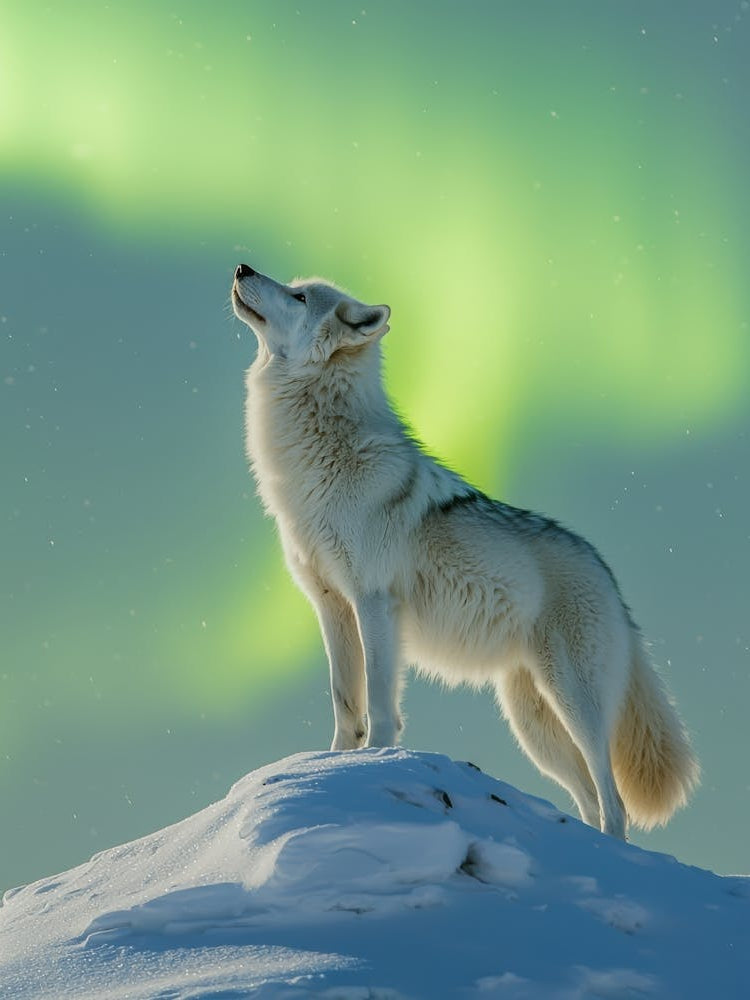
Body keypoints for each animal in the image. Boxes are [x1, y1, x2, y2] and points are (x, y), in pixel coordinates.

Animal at [231, 263, 699, 839]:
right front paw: (328, 768)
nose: (242, 268)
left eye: (299, 297)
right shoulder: (331, 606)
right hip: (533, 726)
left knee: (614, 803)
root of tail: (608, 576)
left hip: (575, 705)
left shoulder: (374, 602)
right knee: (590, 801)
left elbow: (380, 707)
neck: (317, 462)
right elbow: (346, 707)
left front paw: (376, 764)